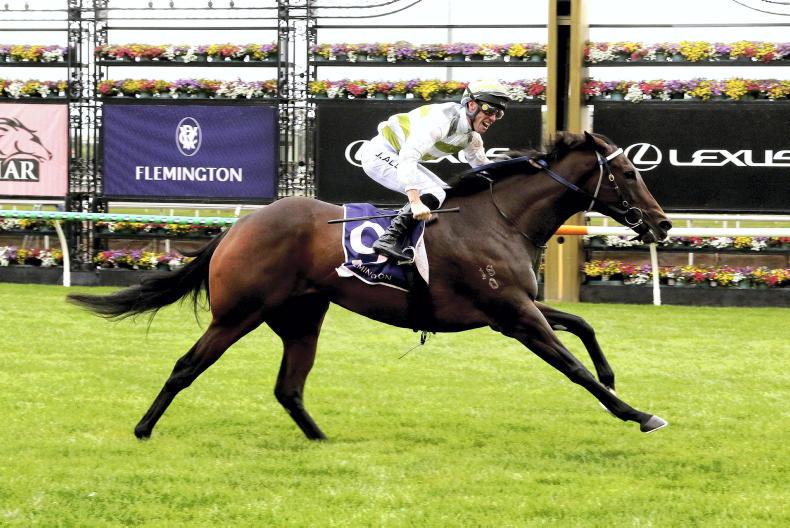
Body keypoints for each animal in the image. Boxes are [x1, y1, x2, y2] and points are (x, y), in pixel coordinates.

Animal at [68, 131, 673, 441]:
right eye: (627, 174)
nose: (663, 224)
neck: (499, 219)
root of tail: (239, 226)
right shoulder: (513, 315)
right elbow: (571, 366)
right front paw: (638, 413)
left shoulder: (517, 307)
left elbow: (583, 325)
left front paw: (612, 375)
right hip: (237, 314)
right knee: (186, 366)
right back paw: (143, 429)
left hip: (301, 318)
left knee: (288, 388)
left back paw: (322, 441)